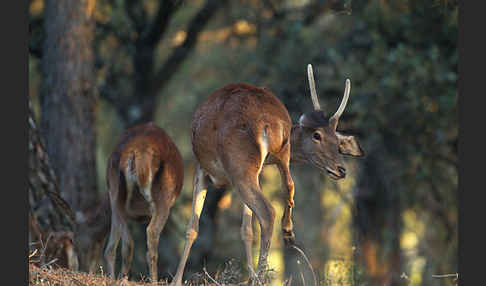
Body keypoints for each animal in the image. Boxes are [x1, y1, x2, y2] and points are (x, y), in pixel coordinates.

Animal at [104, 122, 184, 282]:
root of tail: (139, 149)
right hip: (163, 198)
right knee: (151, 234)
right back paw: (153, 280)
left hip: (115, 192)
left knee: (123, 244)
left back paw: (120, 278)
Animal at [171, 65, 364, 286]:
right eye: (318, 135)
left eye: (338, 143)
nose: (342, 169)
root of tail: (272, 123)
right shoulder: (257, 171)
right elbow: (246, 230)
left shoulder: (202, 167)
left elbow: (192, 228)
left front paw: (176, 280)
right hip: (275, 158)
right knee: (289, 186)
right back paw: (287, 233)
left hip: (239, 164)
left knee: (267, 211)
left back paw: (261, 275)